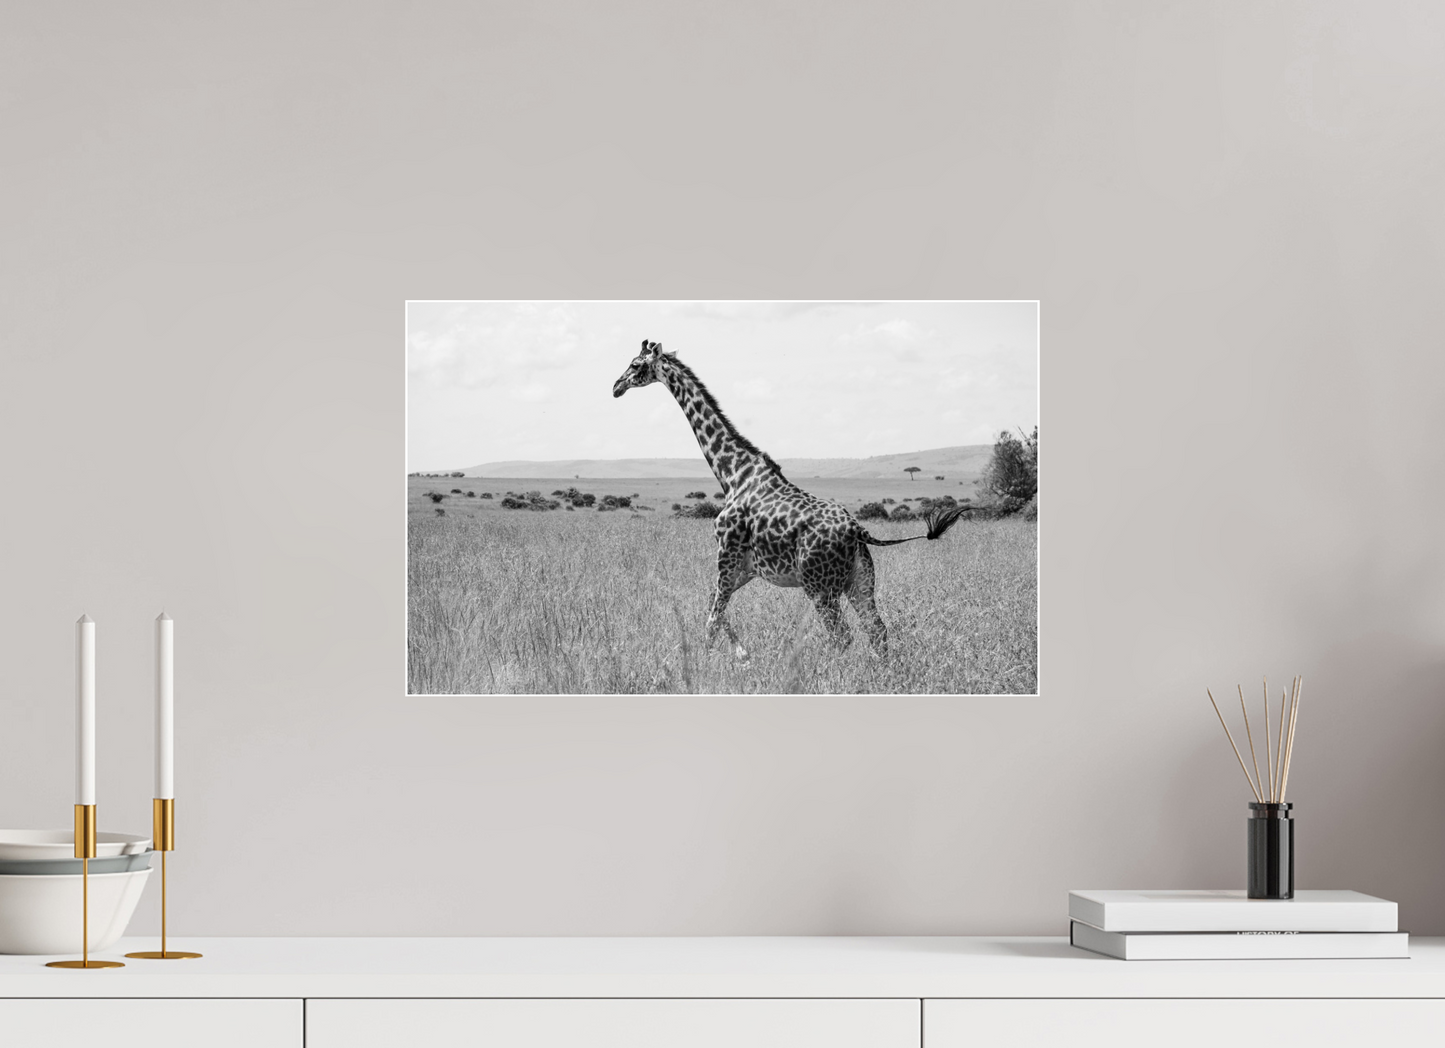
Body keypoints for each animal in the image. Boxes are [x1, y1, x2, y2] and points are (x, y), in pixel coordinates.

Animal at [612, 340, 965, 659]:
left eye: (635, 364)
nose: (616, 386)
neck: (732, 473)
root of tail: (857, 531)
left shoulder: (726, 554)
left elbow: (712, 619)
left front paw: (705, 663)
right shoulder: (746, 567)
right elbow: (713, 605)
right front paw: (742, 654)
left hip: (820, 586)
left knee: (842, 636)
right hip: (860, 581)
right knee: (877, 630)